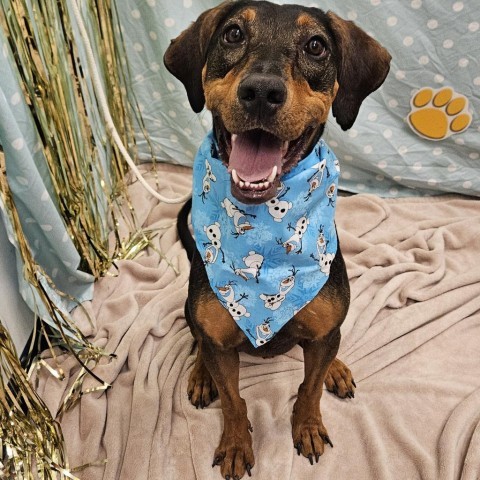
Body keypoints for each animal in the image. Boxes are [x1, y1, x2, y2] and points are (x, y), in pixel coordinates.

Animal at [165, 1, 390, 478]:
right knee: (197, 339)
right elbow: (233, 400)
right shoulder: (219, 341)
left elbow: (310, 387)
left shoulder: (322, 333)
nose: (261, 92)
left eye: (316, 46)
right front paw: (235, 444)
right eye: (232, 34)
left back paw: (336, 368)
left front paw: (308, 425)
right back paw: (200, 374)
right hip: (193, 311)